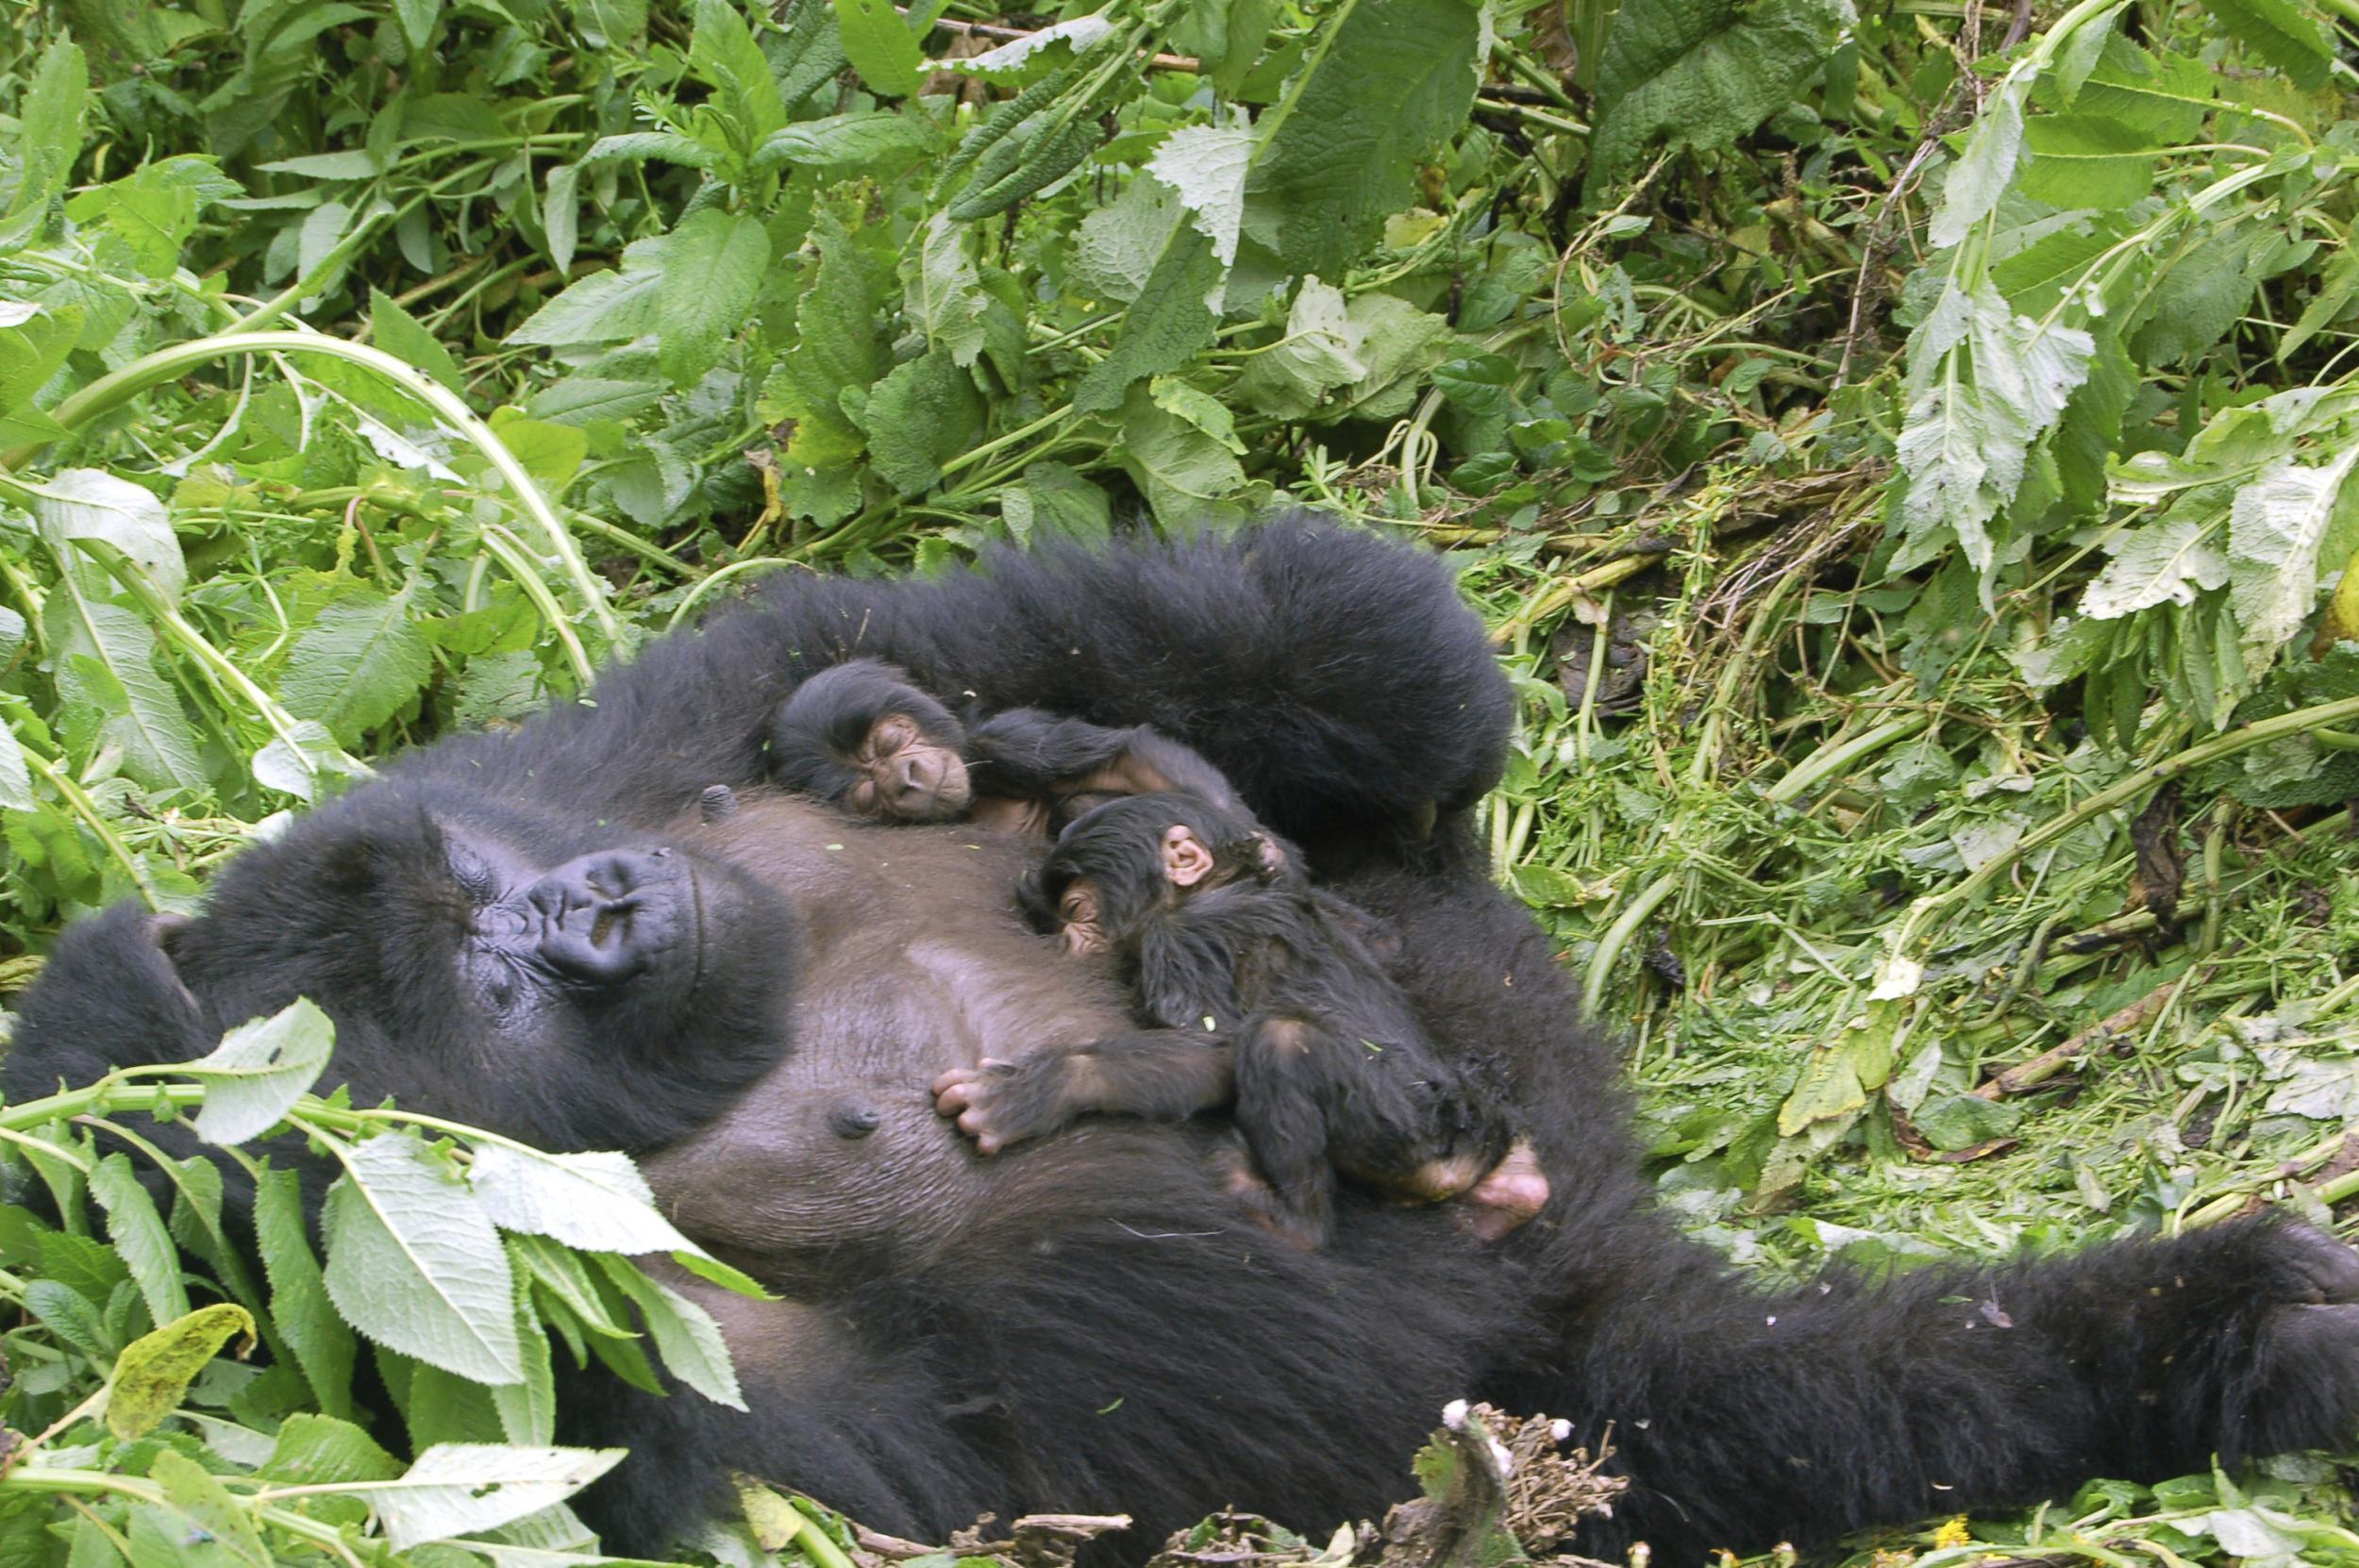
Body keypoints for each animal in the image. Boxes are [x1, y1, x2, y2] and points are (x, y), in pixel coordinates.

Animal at [4, 516, 2359, 1565]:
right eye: (486, 991)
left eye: (494, 918)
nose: (584, 918)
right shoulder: (576, 1342)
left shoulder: (582, 748)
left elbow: (982, 638)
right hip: (1548, 1297)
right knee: (1725, 1399)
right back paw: (2196, 1340)